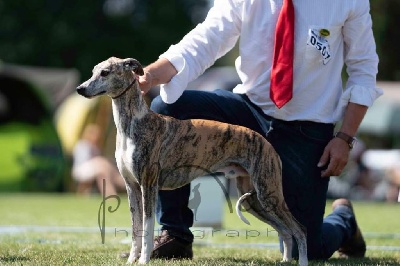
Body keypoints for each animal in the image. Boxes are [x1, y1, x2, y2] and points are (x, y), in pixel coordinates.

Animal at [76, 57, 308, 264]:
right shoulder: (132, 187)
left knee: (300, 229)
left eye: (105, 72)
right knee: (285, 231)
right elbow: (135, 230)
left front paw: (143, 260)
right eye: (94, 71)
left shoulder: (148, 186)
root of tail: (267, 143)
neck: (132, 125)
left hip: (269, 194)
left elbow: (147, 229)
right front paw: (132, 259)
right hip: (254, 199)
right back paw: (286, 260)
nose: (80, 89)